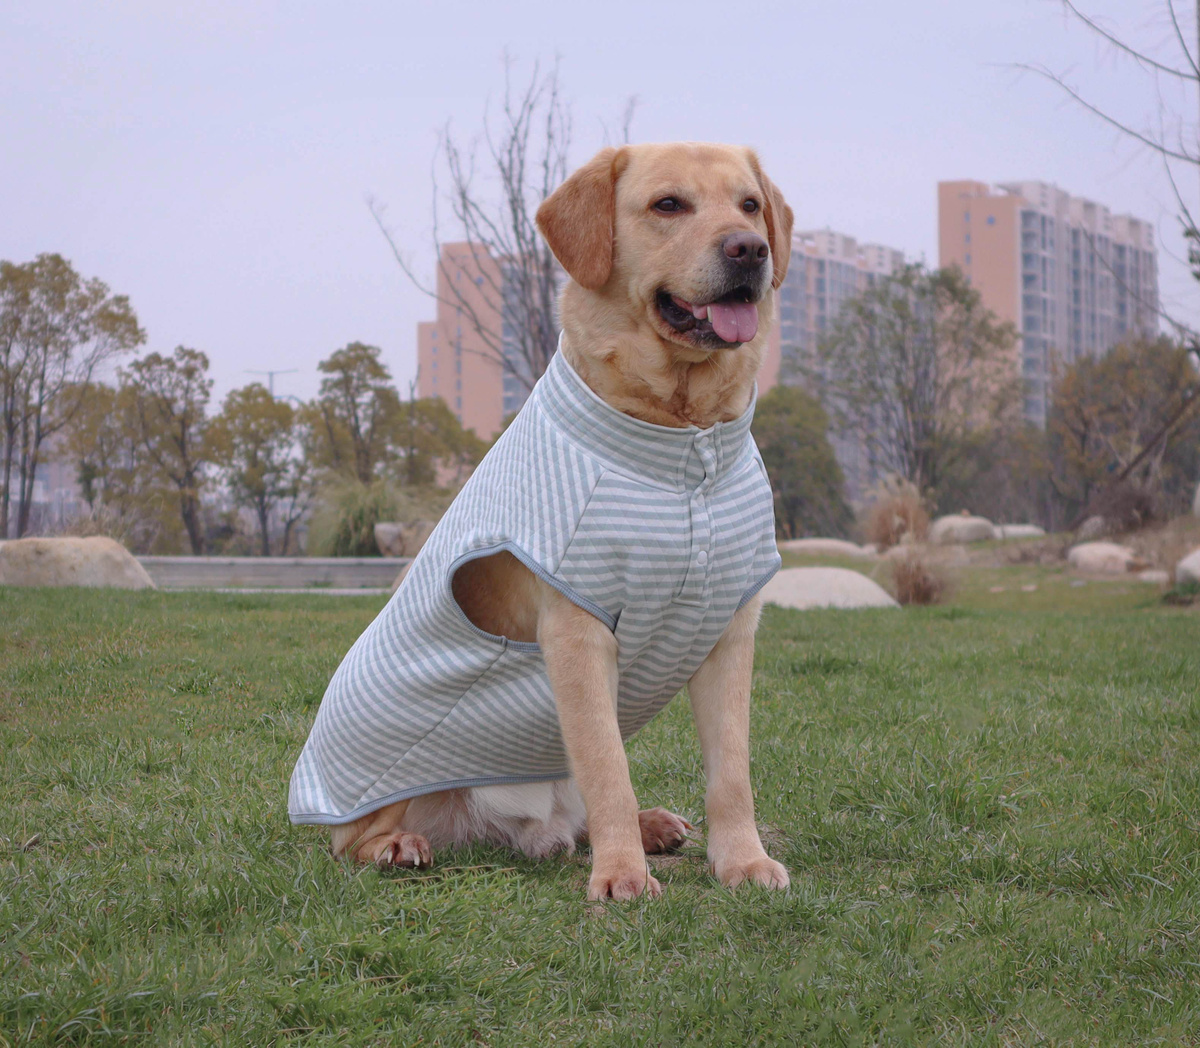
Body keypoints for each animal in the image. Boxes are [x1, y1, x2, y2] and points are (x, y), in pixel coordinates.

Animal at [292, 141, 787, 897]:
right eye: (668, 204)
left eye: (750, 205)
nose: (751, 250)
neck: (685, 444)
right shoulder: (577, 635)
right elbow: (608, 768)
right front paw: (622, 876)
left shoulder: (729, 629)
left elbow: (730, 774)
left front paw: (742, 861)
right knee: (352, 838)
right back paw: (398, 845)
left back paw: (650, 825)